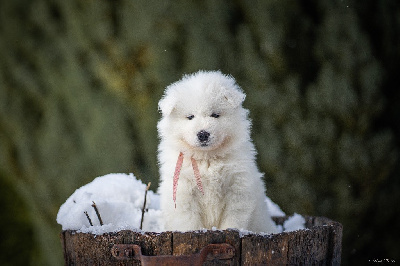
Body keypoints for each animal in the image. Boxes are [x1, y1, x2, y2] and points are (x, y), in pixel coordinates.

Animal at [156, 70, 278, 233]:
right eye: (190, 117)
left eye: (215, 115)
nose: (203, 134)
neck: (207, 158)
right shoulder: (184, 191)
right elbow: (189, 221)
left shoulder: (237, 188)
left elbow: (232, 219)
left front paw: (230, 230)